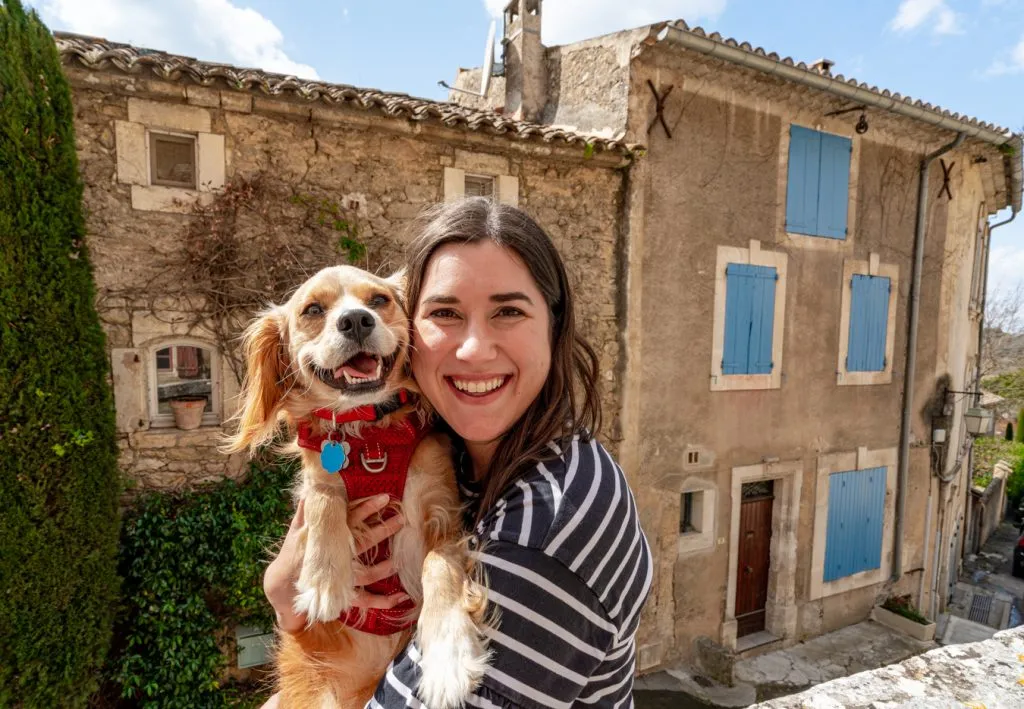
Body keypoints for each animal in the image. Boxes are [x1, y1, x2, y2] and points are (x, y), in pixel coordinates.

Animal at [227, 266, 487, 709]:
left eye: (379, 300)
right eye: (313, 310)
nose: (356, 320)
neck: (369, 434)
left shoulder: (443, 511)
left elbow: (437, 564)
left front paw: (448, 659)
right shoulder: (317, 475)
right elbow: (323, 499)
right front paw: (324, 580)